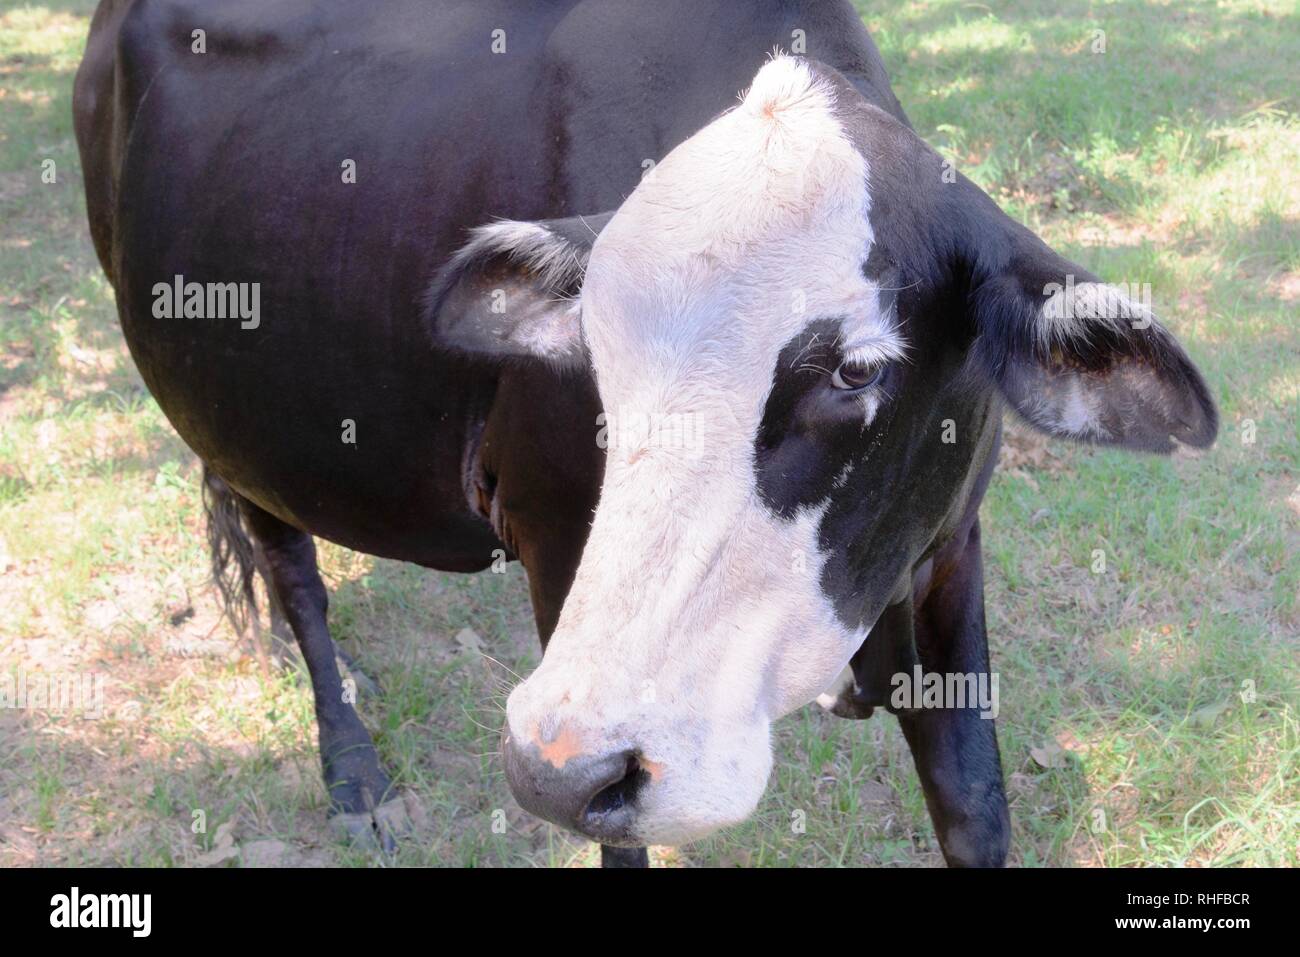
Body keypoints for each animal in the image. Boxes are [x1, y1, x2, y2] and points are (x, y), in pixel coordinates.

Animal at [74, 0, 1217, 868]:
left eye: (856, 370)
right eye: (593, 348)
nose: (552, 765)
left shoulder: (947, 552)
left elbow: (975, 806)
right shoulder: (551, 558)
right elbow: (616, 835)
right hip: (233, 419)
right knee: (288, 563)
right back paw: (354, 765)